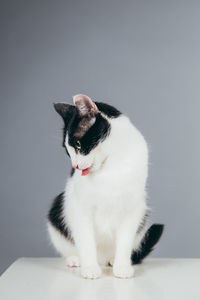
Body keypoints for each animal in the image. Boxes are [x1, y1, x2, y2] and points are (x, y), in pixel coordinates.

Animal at [47, 94, 164, 278]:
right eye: (68, 151)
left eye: (78, 144)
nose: (75, 166)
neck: (110, 166)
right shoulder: (80, 207)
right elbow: (86, 240)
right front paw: (89, 268)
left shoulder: (132, 208)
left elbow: (125, 241)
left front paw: (122, 267)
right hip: (58, 209)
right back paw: (75, 259)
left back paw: (112, 260)